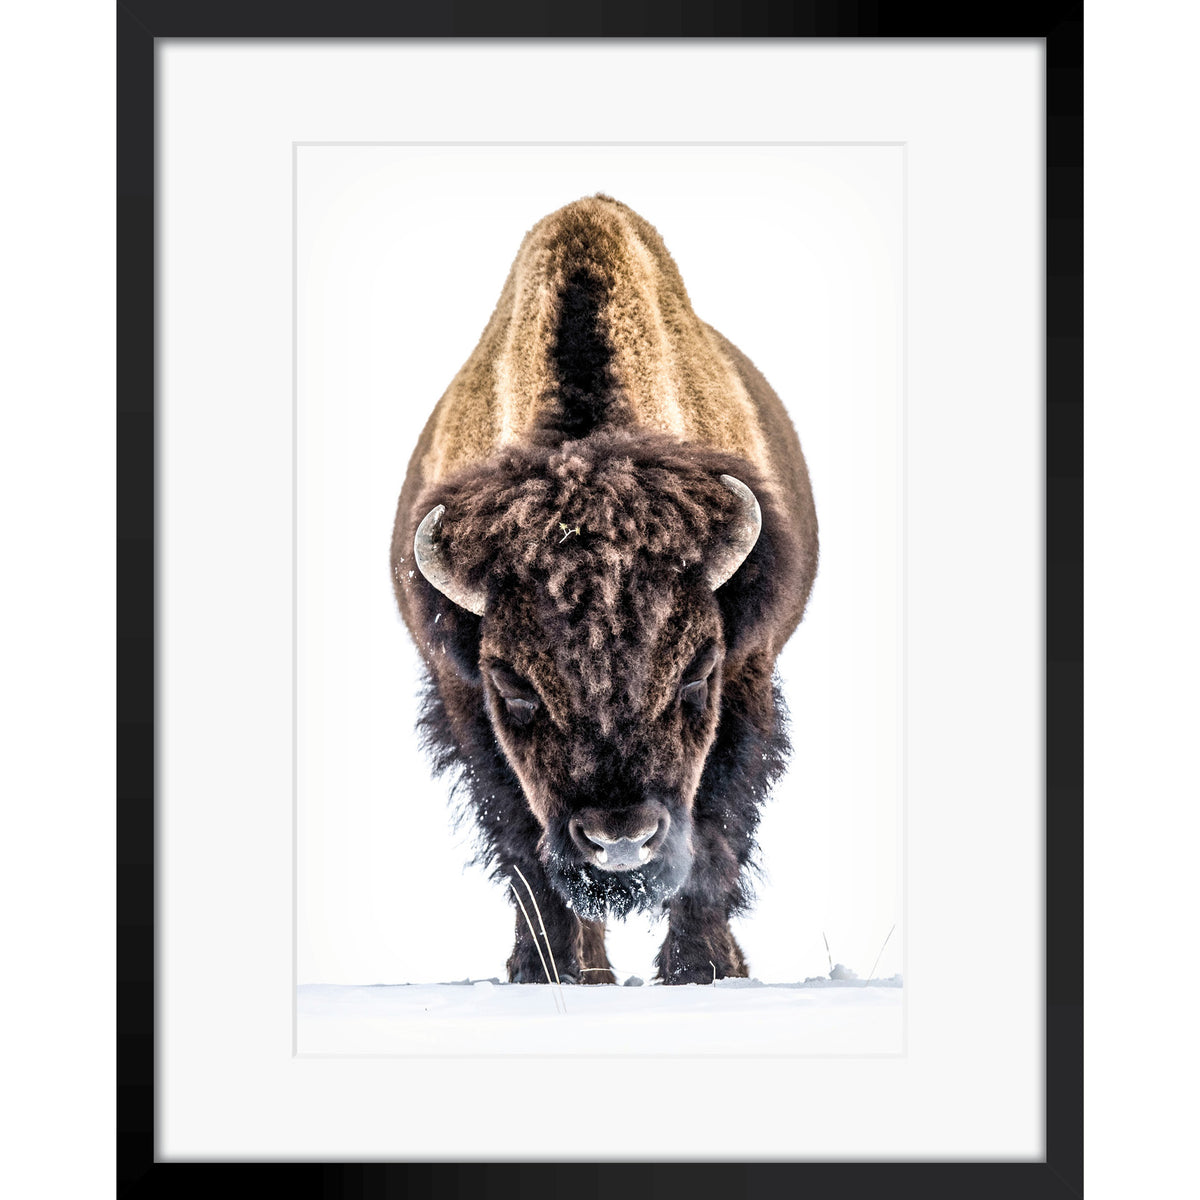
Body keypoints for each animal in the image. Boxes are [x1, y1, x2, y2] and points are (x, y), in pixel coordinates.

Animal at [391, 195, 818, 984]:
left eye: (697, 673)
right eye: (514, 686)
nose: (620, 839)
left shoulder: (749, 673)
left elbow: (715, 831)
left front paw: (699, 969)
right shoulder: (462, 698)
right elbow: (525, 849)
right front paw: (548, 972)